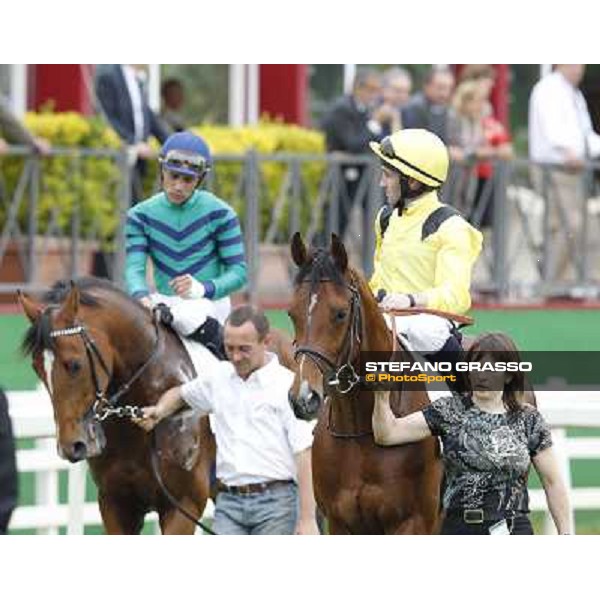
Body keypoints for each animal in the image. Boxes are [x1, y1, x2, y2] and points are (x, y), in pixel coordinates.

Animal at [288, 234, 442, 536]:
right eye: (291, 313)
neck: (361, 432)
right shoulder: (340, 522)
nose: (303, 397)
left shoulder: (412, 522)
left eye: (340, 313)